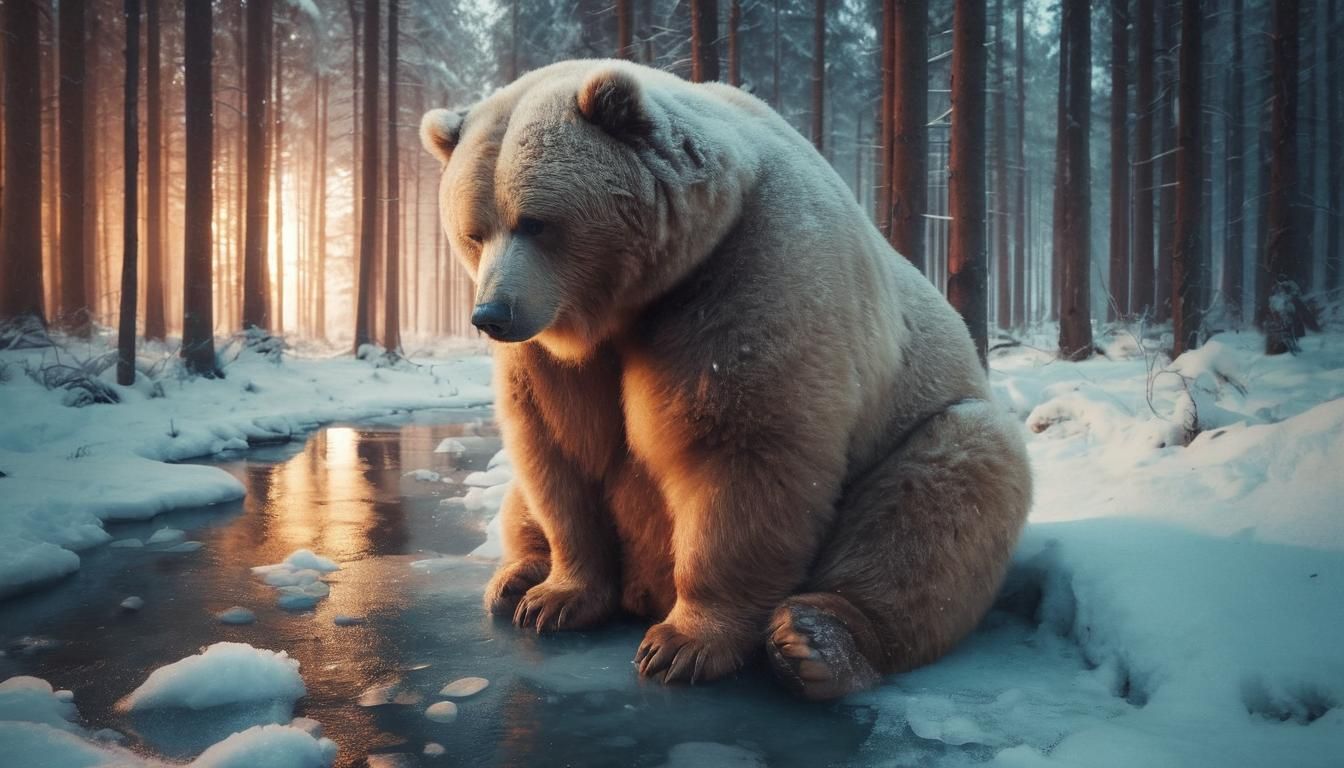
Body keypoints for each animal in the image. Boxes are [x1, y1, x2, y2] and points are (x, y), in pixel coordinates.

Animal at [420, 60, 1031, 700]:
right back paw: (515, 577)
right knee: (521, 501)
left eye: (535, 222)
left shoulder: (748, 272)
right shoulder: (557, 355)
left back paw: (816, 641)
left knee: (937, 499)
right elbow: (559, 451)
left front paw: (681, 645)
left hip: (921, 428)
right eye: (473, 232)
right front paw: (556, 598)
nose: (492, 315)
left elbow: (740, 451)